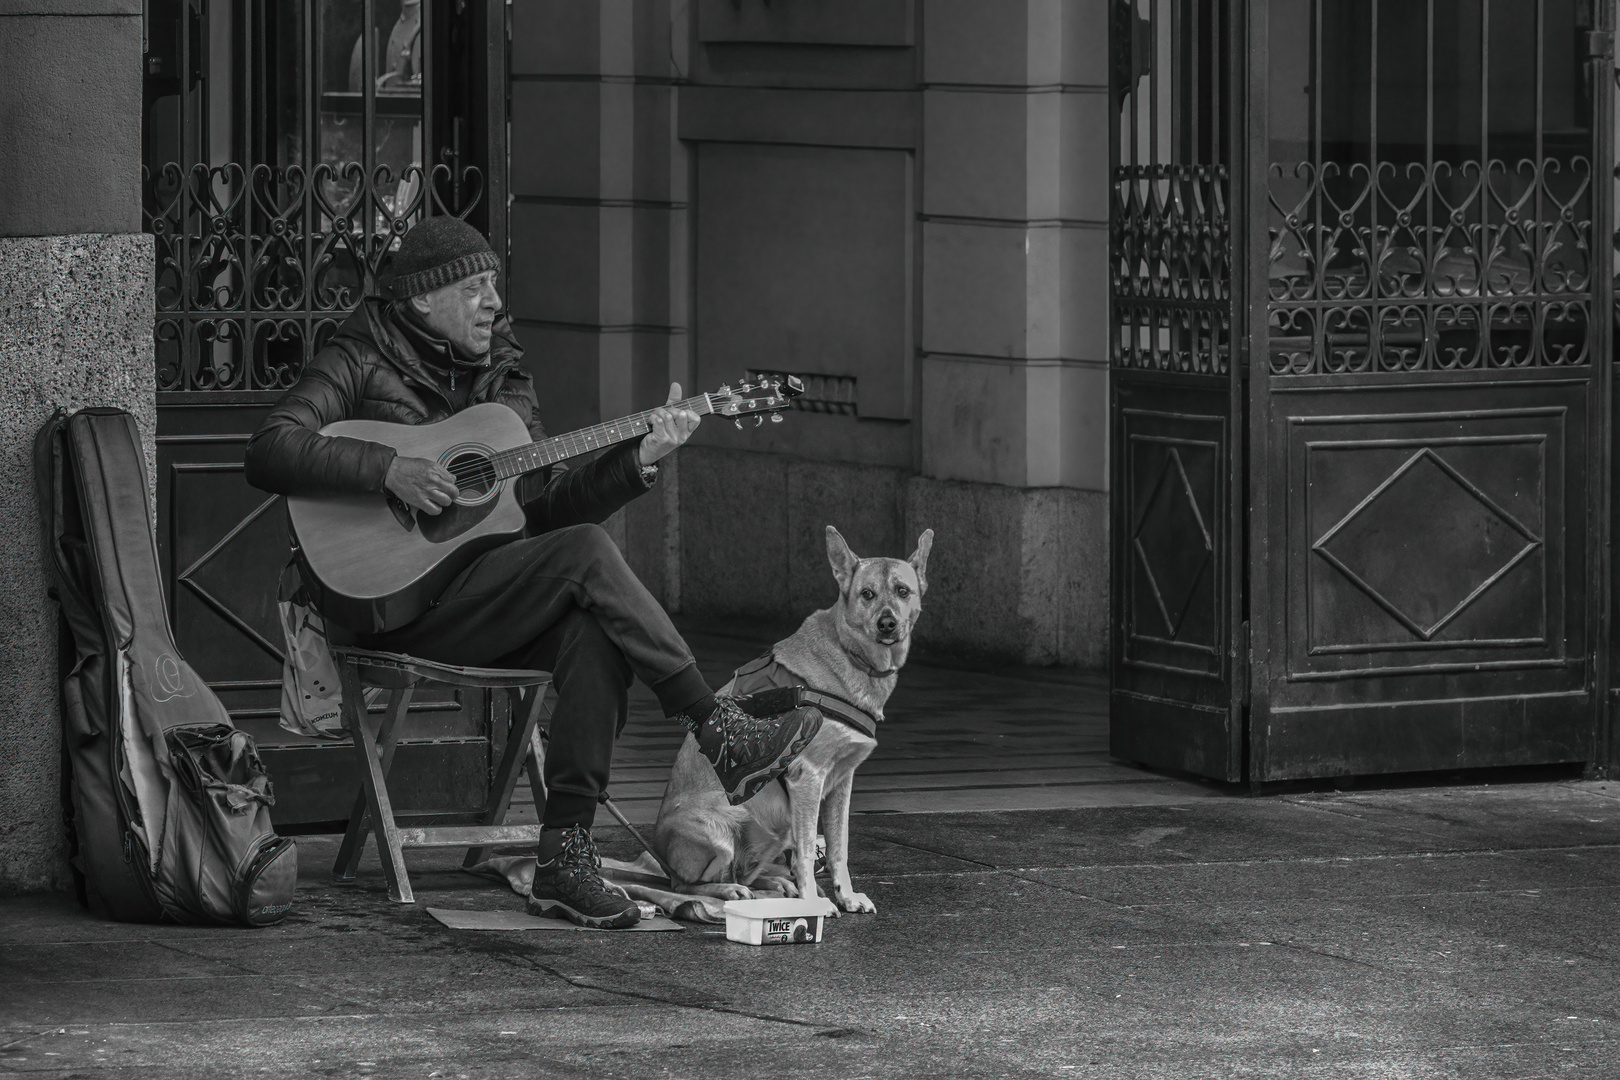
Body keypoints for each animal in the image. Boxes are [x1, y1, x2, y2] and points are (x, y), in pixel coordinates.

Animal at [641, 527, 933, 919]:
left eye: (903, 591)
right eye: (867, 594)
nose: (887, 624)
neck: (851, 654)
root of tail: (659, 853)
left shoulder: (842, 782)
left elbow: (838, 847)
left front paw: (845, 896)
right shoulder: (807, 777)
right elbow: (807, 852)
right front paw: (813, 903)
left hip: (770, 831)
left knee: (749, 873)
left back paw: (773, 886)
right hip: (721, 828)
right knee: (687, 886)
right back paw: (730, 890)